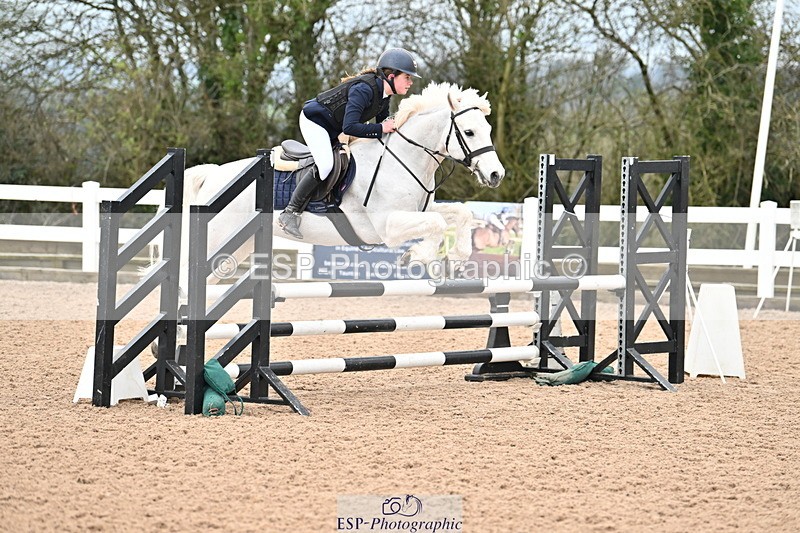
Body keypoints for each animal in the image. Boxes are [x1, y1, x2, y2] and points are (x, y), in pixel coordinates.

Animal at [176, 82, 506, 293]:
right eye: (469, 132)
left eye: (489, 129)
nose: (496, 175)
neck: (402, 158)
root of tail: (214, 176)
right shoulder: (387, 226)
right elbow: (436, 223)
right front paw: (418, 257)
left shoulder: (418, 210)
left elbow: (459, 214)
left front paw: (455, 259)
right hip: (217, 239)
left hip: (237, 247)